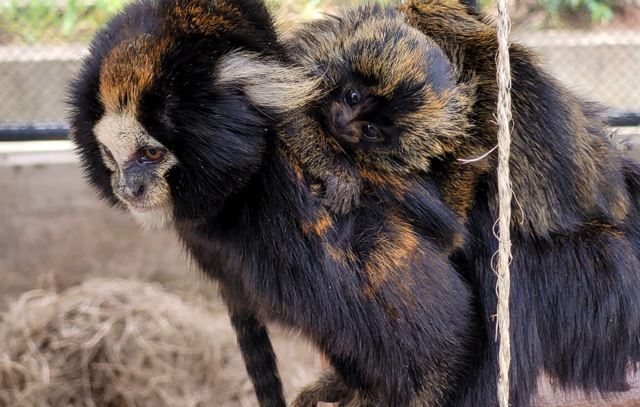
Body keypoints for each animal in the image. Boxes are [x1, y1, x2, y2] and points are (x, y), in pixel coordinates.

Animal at [282, 3, 472, 217]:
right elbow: (291, 110)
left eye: (370, 130)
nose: (341, 122)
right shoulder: (319, 50)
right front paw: (340, 175)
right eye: (352, 97)